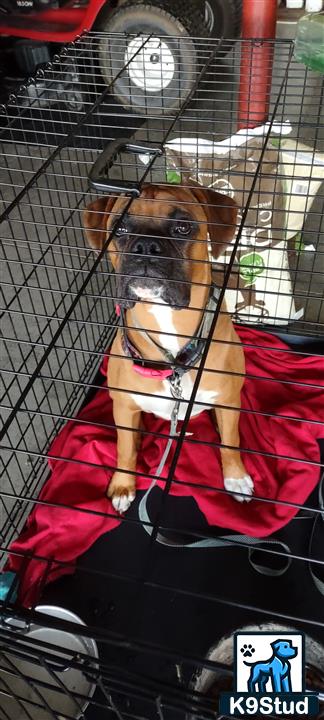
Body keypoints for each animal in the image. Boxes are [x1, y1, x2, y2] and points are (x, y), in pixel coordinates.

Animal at [83, 184, 253, 512]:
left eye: (182, 228)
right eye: (120, 228)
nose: (146, 246)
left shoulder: (228, 401)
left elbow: (231, 441)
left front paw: (236, 477)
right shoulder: (124, 406)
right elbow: (124, 448)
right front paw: (123, 484)